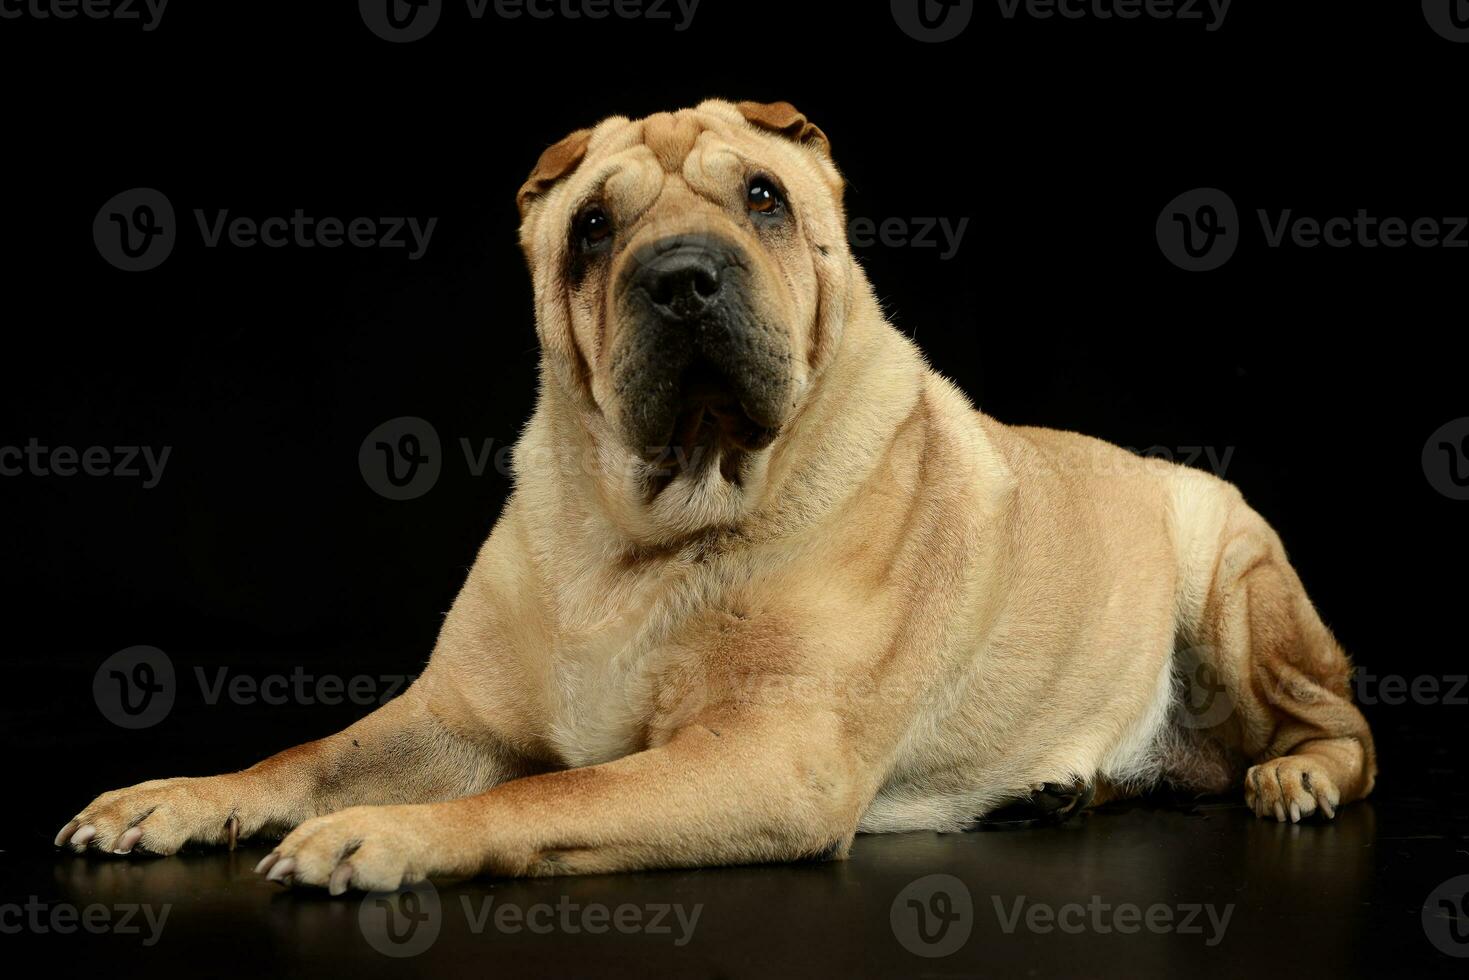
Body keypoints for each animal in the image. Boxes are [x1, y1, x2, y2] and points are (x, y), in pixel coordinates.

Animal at [54, 101, 1374, 899]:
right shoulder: (449, 718)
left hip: (1233, 579)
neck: (642, 529)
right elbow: (308, 750)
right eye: (590, 229)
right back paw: (1059, 787)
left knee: (1341, 726)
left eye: (763, 199)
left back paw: (1293, 777)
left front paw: (388, 834)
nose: (682, 276)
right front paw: (178, 798)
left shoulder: (765, 754)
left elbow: (553, 787)